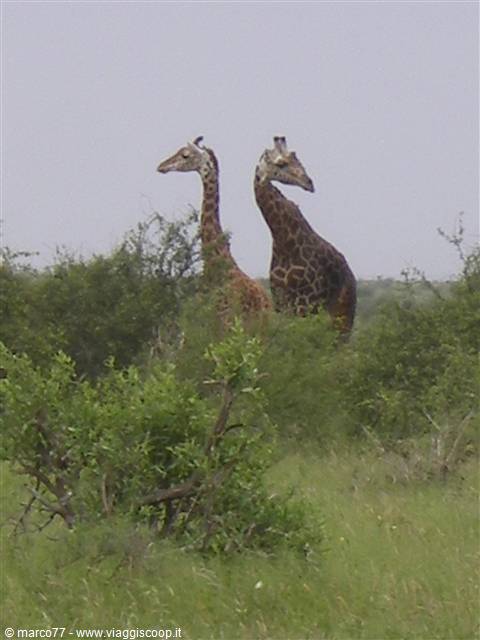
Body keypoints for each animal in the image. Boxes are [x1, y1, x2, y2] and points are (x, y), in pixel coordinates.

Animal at [254, 136, 356, 335]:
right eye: (281, 163)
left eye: (298, 160)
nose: (309, 183)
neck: (282, 240)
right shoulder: (282, 304)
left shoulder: (306, 302)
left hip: (342, 315)